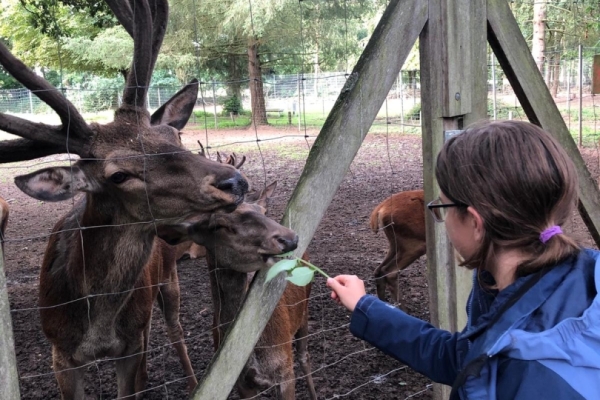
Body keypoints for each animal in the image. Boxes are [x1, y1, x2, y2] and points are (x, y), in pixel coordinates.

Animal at [0, 1, 248, 398]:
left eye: (173, 136)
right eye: (118, 175)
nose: (233, 181)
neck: (96, 328)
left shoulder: (128, 345)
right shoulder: (59, 353)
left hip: (168, 280)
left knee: (174, 332)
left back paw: (195, 381)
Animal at [159, 182, 318, 400]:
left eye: (264, 211)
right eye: (219, 226)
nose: (289, 238)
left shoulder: (286, 371)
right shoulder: (240, 383)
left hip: (304, 309)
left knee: (304, 356)